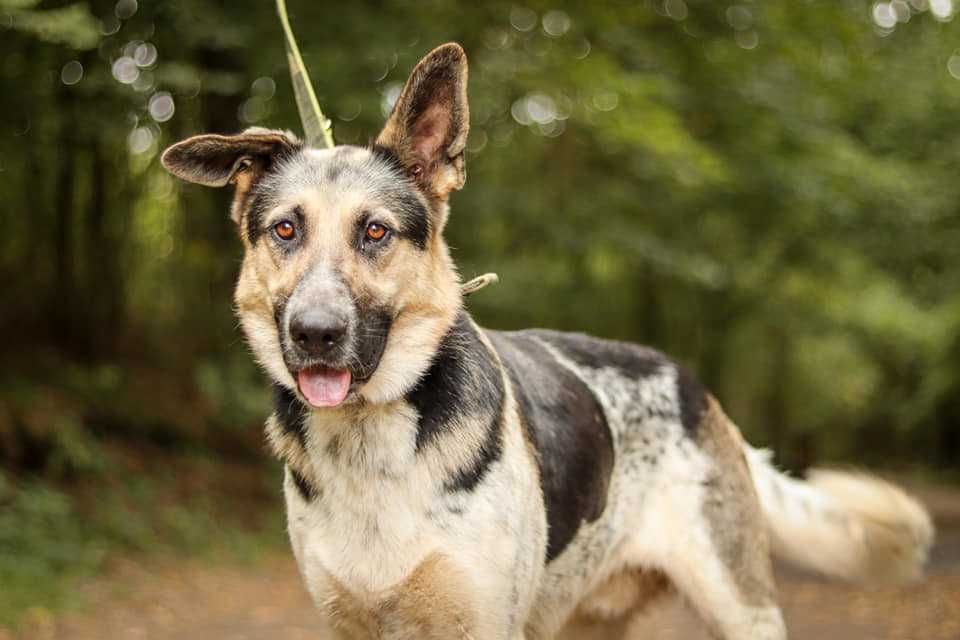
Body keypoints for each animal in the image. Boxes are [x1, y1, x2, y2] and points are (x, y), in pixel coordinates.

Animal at [161, 42, 932, 636]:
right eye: (285, 230)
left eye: (375, 231)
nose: (315, 334)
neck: (372, 436)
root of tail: (694, 386)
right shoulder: (348, 619)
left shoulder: (479, 621)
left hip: (742, 608)